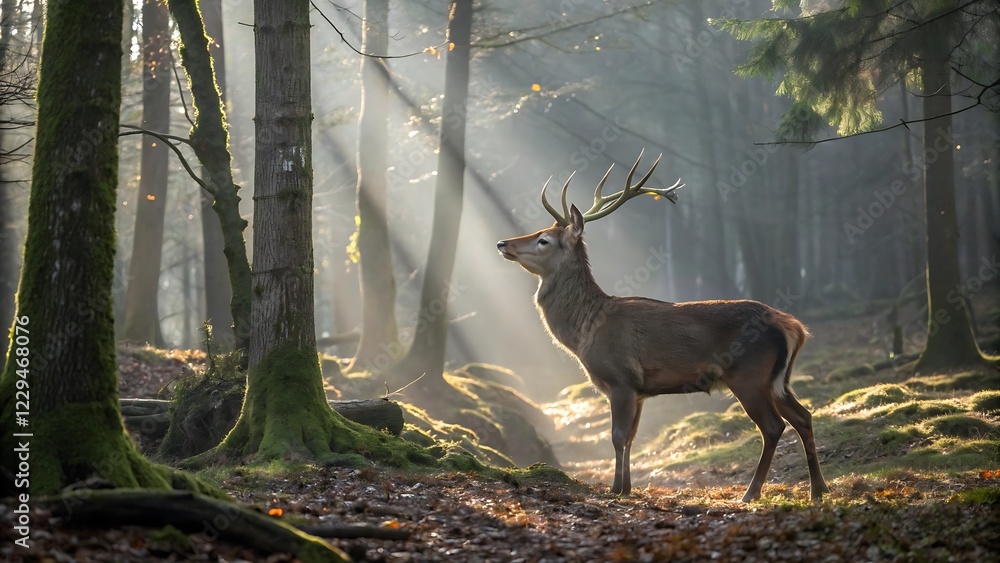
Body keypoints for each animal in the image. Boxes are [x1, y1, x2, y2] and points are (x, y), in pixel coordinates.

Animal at [496, 151, 828, 502]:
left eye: (543, 240)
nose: (503, 243)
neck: (585, 330)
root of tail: (794, 327)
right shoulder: (640, 390)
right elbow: (631, 437)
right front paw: (627, 487)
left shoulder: (621, 378)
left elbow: (617, 436)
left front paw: (616, 489)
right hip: (778, 379)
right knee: (804, 416)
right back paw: (818, 489)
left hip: (749, 375)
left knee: (773, 426)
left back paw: (751, 493)